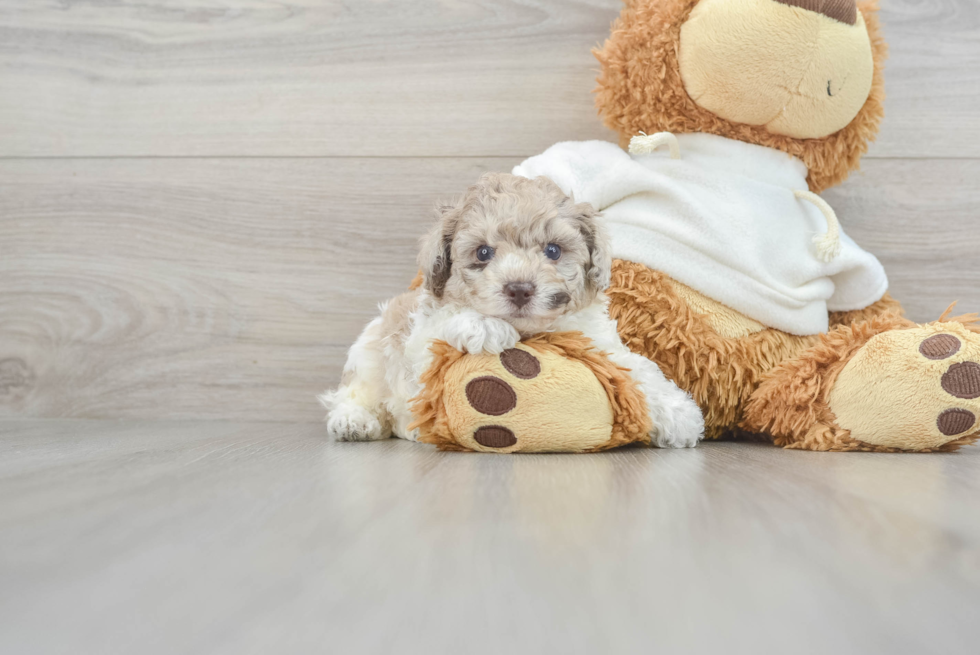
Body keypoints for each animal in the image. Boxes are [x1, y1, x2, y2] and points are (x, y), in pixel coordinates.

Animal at [322, 172, 704, 448]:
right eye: (483, 253)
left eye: (553, 251)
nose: (519, 288)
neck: (528, 330)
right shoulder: (420, 342)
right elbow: (445, 322)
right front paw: (485, 326)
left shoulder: (595, 340)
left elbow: (634, 367)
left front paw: (678, 413)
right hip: (370, 353)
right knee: (356, 393)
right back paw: (355, 421)